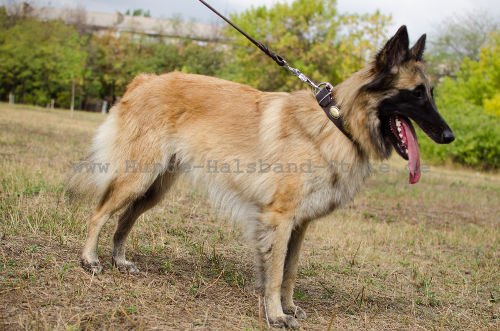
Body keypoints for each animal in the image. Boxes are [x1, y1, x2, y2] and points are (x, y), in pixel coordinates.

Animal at [69, 26, 454, 330]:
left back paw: (119, 261)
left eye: (431, 93)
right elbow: (275, 273)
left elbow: (290, 271)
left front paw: (288, 307)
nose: (450, 136)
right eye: (417, 93)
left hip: (153, 188)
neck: (337, 122)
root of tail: (145, 79)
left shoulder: (299, 224)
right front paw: (275, 315)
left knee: (125, 219)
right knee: (99, 213)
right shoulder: (279, 218)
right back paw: (90, 260)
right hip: (138, 177)